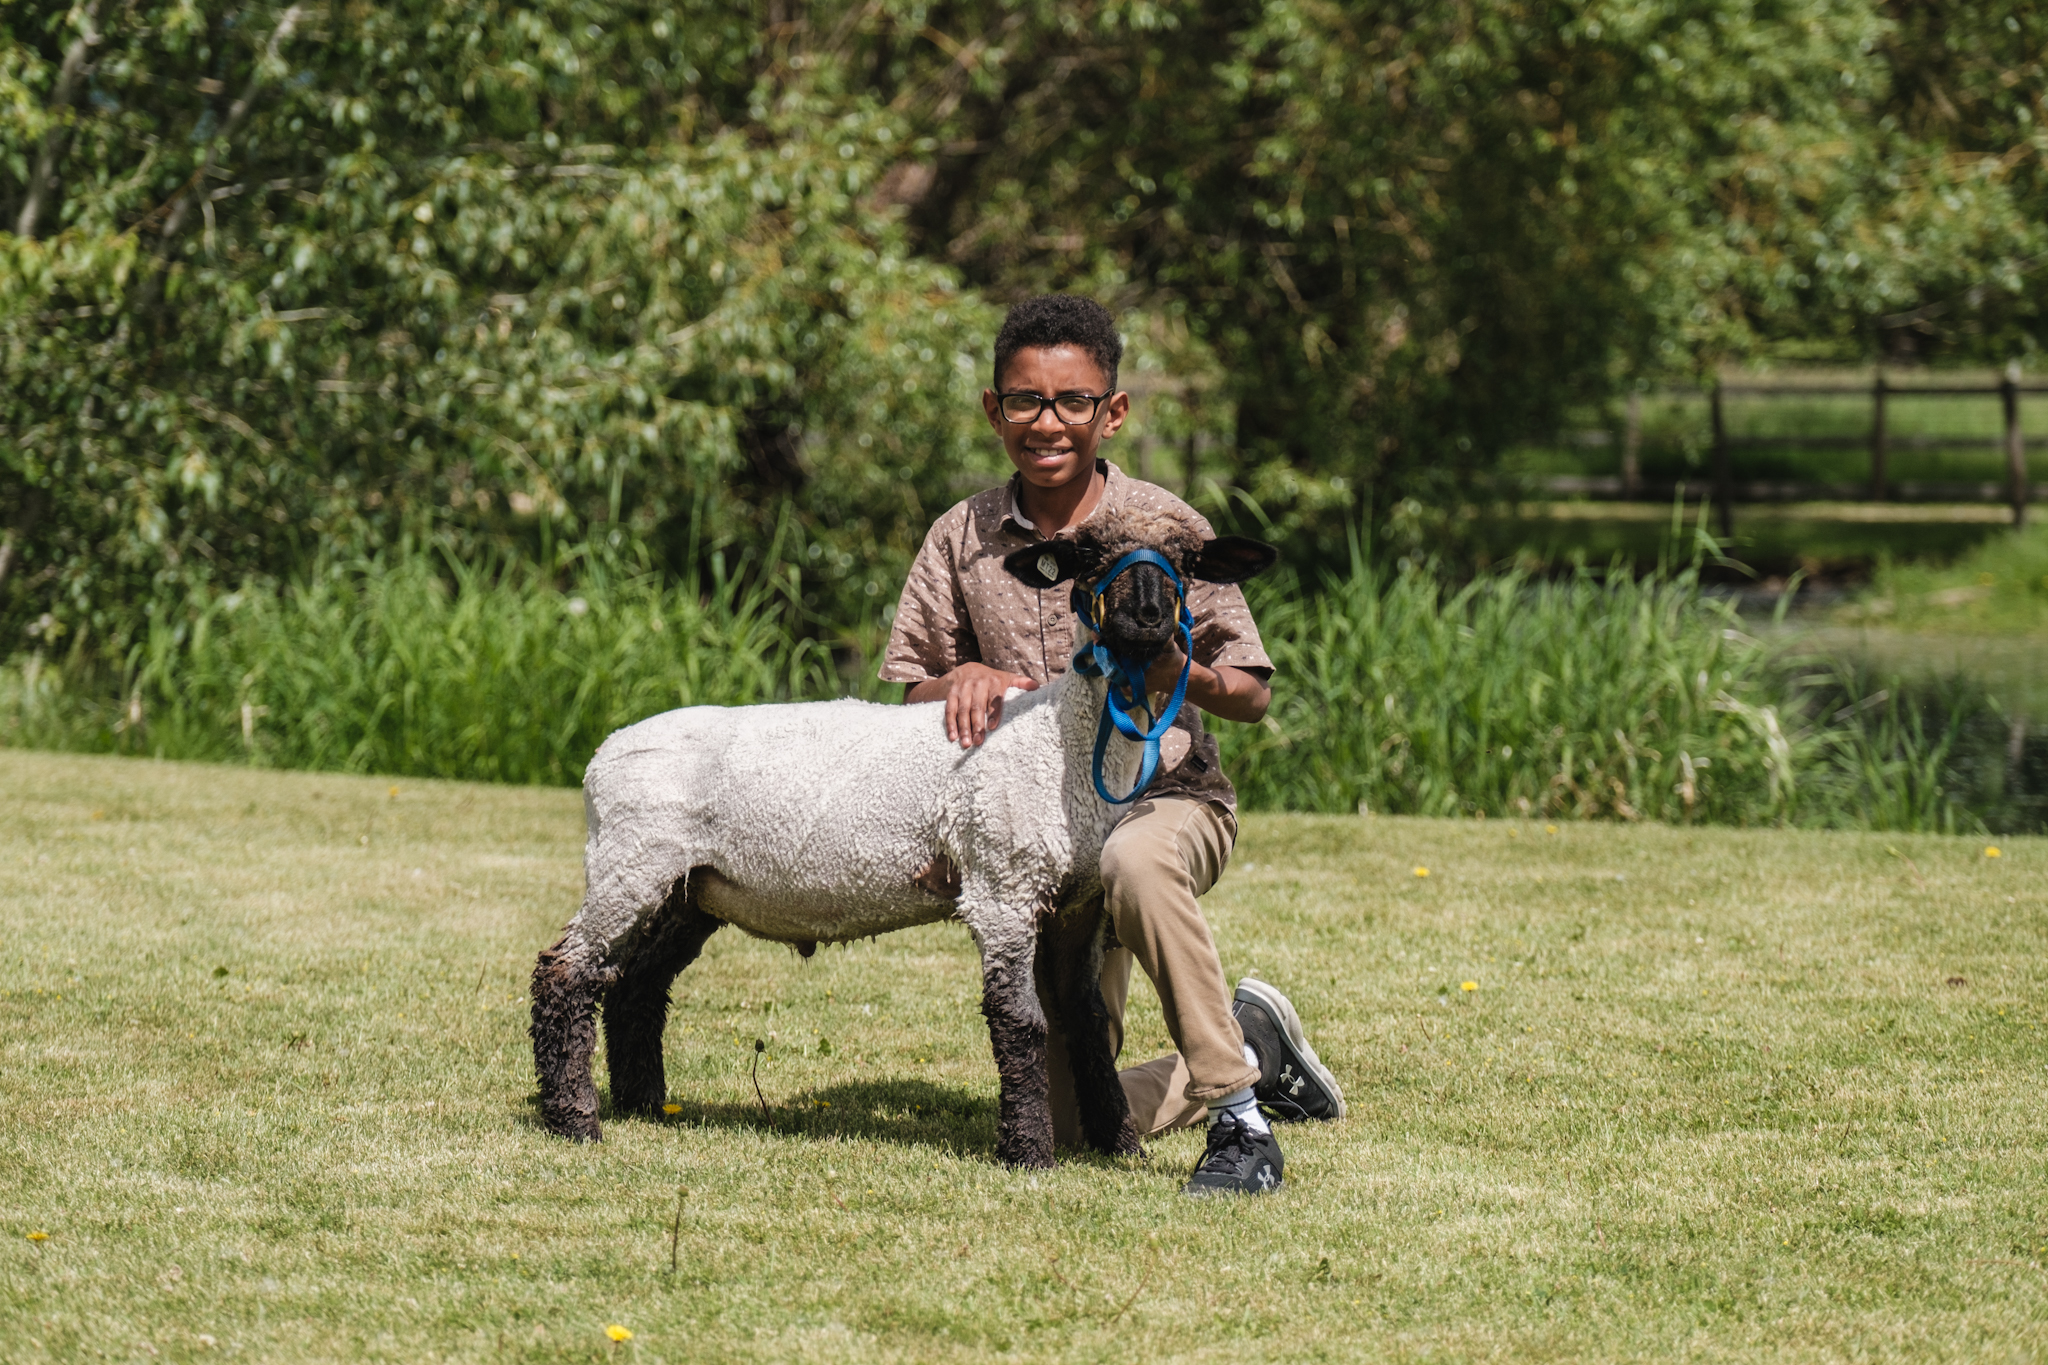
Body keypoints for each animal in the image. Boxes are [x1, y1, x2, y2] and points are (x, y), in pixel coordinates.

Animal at [532, 507, 1277, 1170]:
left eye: (1186, 561)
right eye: (1090, 556)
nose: (1147, 617)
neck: (1058, 740)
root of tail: (601, 757)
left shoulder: (1078, 904)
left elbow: (1088, 1023)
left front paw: (1119, 1144)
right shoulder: (1002, 886)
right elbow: (1022, 1021)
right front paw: (1028, 1152)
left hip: (692, 888)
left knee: (635, 986)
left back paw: (644, 1104)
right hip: (631, 861)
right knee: (565, 972)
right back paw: (575, 1120)